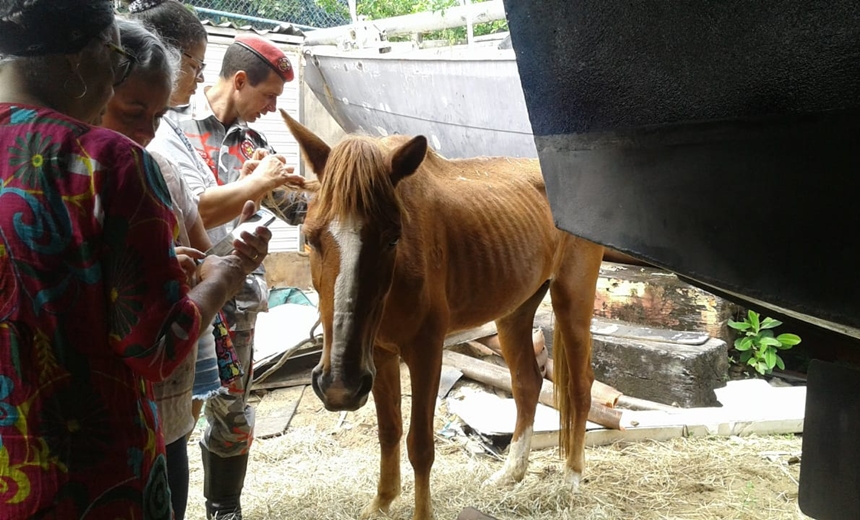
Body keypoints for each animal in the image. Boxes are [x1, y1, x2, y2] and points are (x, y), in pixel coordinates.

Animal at [282, 109, 604, 520]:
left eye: (393, 238)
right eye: (310, 238)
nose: (339, 386)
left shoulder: (425, 351)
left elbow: (420, 445)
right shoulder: (381, 354)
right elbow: (389, 430)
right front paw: (382, 502)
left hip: (571, 299)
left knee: (580, 386)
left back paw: (572, 477)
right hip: (515, 310)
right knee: (527, 383)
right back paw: (510, 473)